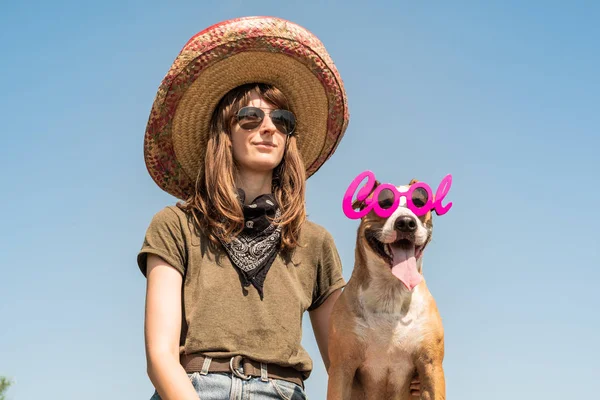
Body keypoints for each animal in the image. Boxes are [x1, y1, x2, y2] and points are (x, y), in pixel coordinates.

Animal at [328, 179, 446, 400]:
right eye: (384, 203)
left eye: (419, 202)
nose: (406, 222)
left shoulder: (431, 365)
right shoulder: (342, 367)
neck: (390, 293)